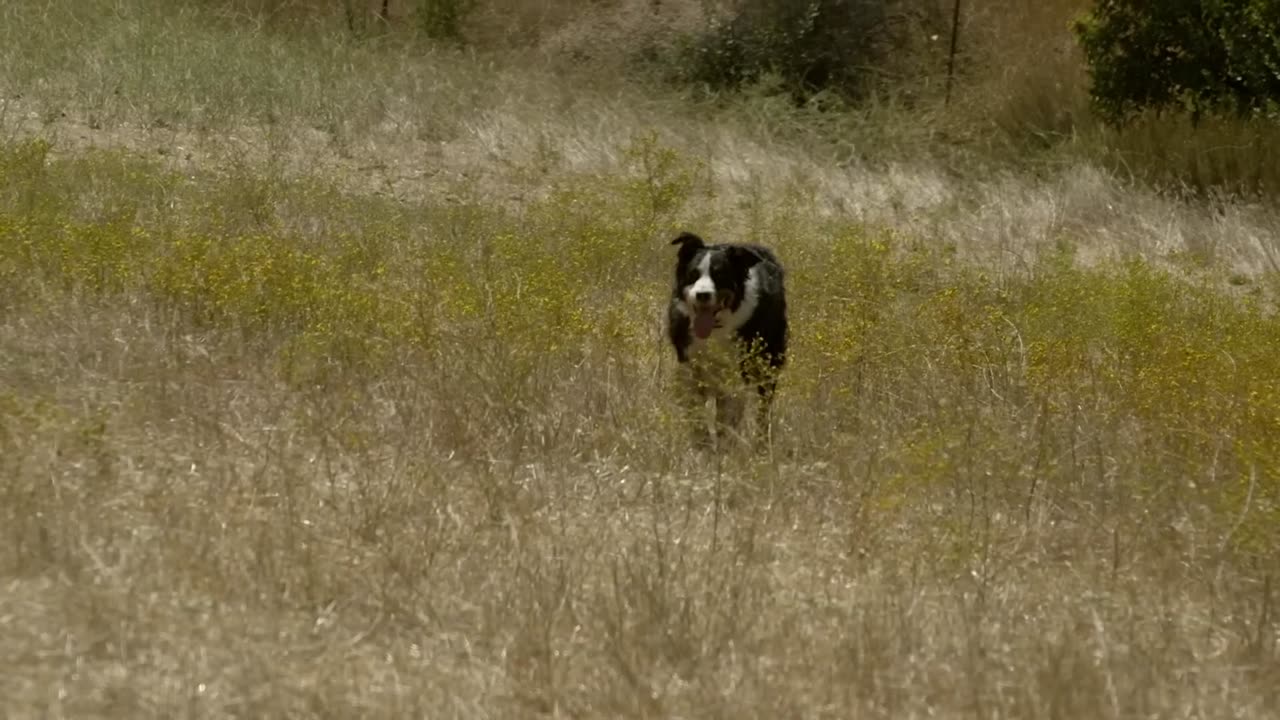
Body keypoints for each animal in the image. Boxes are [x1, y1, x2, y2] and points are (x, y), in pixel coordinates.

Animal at [665, 229, 783, 445]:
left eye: (720, 275)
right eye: (693, 274)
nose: (702, 295)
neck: (716, 327)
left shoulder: (737, 370)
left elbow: (729, 414)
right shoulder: (690, 363)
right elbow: (696, 408)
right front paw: (702, 442)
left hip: (768, 361)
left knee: (762, 407)